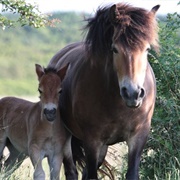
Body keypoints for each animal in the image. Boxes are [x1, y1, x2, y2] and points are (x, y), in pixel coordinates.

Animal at [47, 2, 159, 180]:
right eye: (115, 49)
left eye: (147, 49)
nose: (132, 94)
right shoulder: (92, 141)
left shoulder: (138, 136)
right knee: (72, 171)